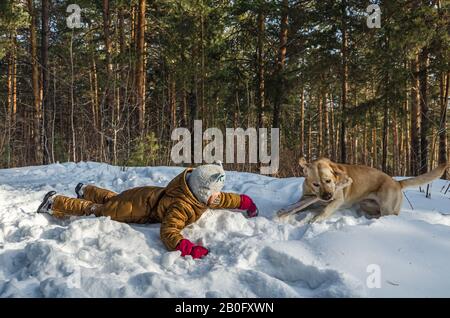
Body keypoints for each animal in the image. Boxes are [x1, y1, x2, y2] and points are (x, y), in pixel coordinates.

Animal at [298, 157, 448, 222]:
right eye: (316, 184)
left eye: (328, 181)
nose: (327, 196)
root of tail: (396, 182)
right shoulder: (305, 198)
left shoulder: (337, 200)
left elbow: (325, 210)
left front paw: (314, 219)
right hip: (366, 204)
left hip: (388, 208)